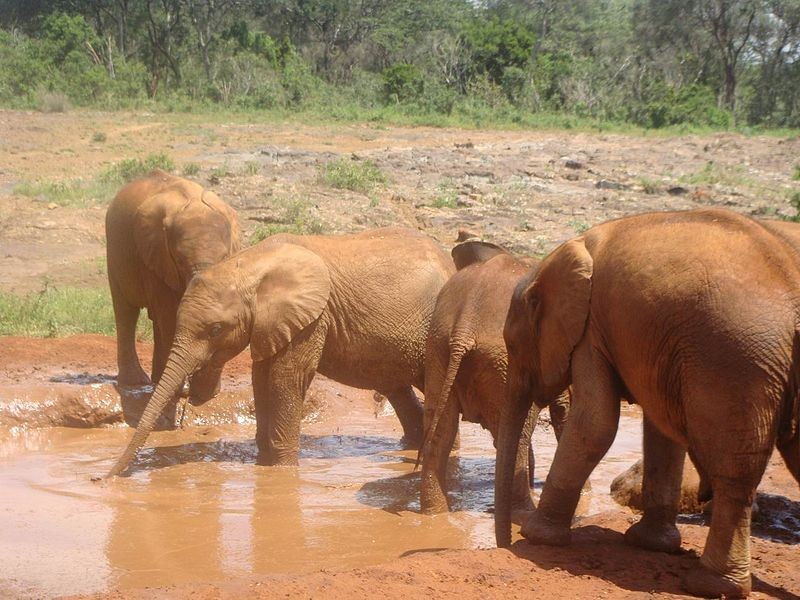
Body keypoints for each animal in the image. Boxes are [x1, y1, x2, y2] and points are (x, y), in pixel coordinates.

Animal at [104, 168, 241, 426]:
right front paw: (181, 392)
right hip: (116, 251)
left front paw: (202, 393)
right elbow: (168, 314)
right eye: (178, 260)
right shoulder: (155, 256)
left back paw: (157, 380)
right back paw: (138, 382)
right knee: (126, 310)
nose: (196, 397)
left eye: (224, 257)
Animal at [104, 226, 456, 478]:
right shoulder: (272, 323)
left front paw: (282, 472)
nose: (102, 479)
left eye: (216, 329)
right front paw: (263, 460)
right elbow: (261, 379)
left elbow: (285, 380)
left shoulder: (313, 318)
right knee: (397, 386)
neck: (249, 265)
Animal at [418, 241, 568, 512]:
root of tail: (464, 325)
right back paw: (524, 512)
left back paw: (434, 514)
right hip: (499, 358)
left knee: (441, 430)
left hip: (437, 347)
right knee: (517, 434)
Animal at [494, 209, 800, 596]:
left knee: (735, 474)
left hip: (734, 361)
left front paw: (535, 537)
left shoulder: (592, 331)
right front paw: (649, 544)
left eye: (512, 345)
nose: (503, 544)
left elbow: (596, 423)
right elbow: (660, 433)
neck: (555, 258)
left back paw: (710, 585)